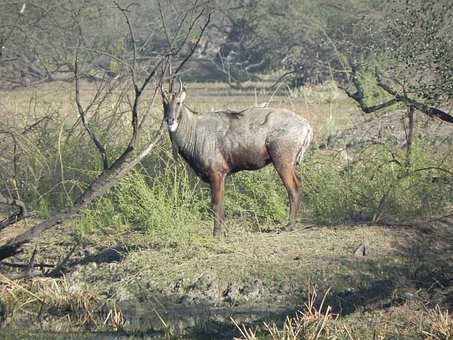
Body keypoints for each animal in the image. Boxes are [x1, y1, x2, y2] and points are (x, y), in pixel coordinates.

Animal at [161, 80, 312, 238]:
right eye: (164, 102)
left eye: (178, 102)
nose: (170, 120)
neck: (194, 130)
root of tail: (307, 126)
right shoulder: (222, 176)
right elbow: (220, 204)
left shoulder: (217, 174)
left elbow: (216, 204)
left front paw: (217, 234)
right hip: (290, 164)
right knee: (299, 184)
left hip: (282, 162)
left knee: (293, 189)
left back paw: (289, 226)